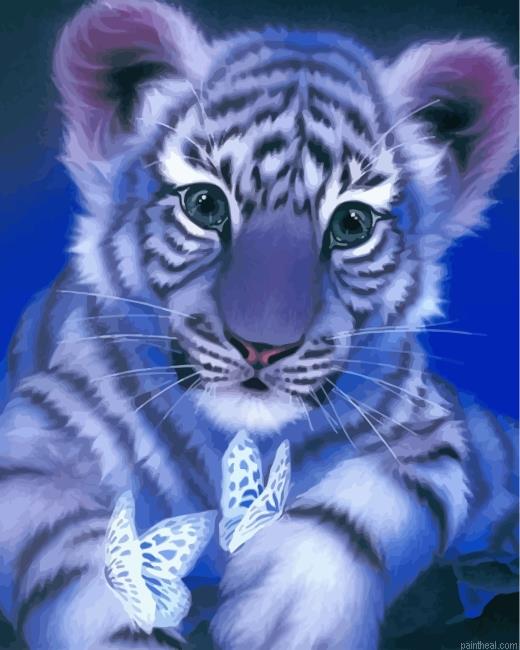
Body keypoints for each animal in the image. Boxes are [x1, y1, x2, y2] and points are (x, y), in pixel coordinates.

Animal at [0, 0, 518, 648]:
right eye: (204, 206)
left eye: (351, 223)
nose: (262, 347)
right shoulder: (35, 438)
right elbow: (77, 556)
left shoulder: (430, 430)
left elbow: (363, 508)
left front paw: (289, 614)